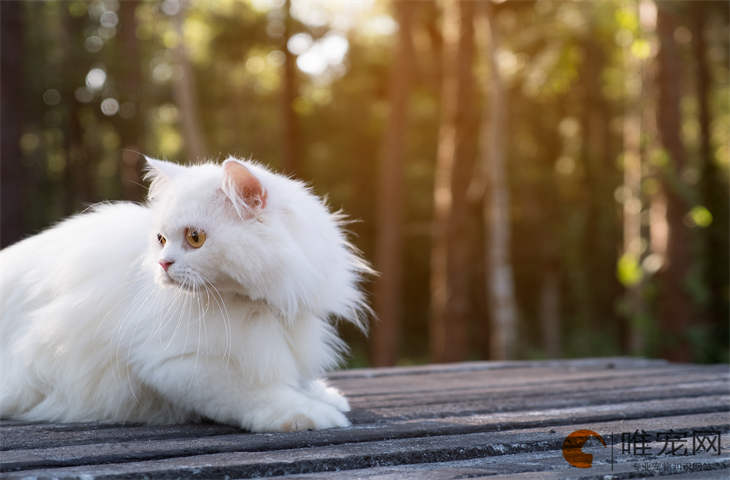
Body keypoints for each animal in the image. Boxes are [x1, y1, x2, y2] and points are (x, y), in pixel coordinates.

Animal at [0, 158, 370, 432]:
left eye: (195, 238)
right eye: (162, 239)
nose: (163, 263)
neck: (257, 302)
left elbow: (296, 378)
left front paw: (326, 395)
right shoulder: (177, 362)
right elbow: (257, 392)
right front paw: (309, 414)